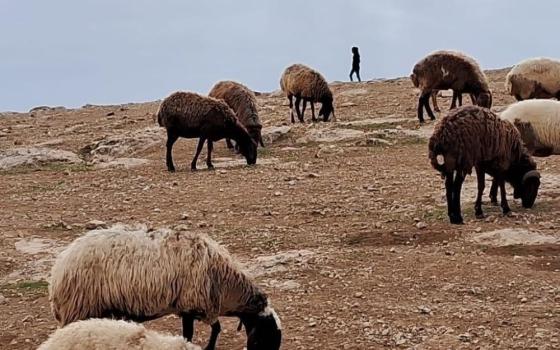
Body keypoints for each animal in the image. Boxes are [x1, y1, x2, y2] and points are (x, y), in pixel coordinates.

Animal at [48, 224, 282, 350]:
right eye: (266, 335)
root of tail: (60, 267)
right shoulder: (192, 304)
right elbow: (205, 331)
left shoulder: (194, 307)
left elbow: (213, 329)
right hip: (81, 306)